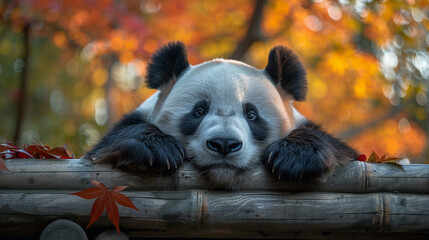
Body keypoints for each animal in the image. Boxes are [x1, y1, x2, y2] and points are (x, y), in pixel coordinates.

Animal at [84, 42, 358, 190]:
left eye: (252, 114)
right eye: (199, 111)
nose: (224, 144)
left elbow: (337, 149)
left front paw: (295, 157)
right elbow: (108, 146)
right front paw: (157, 149)